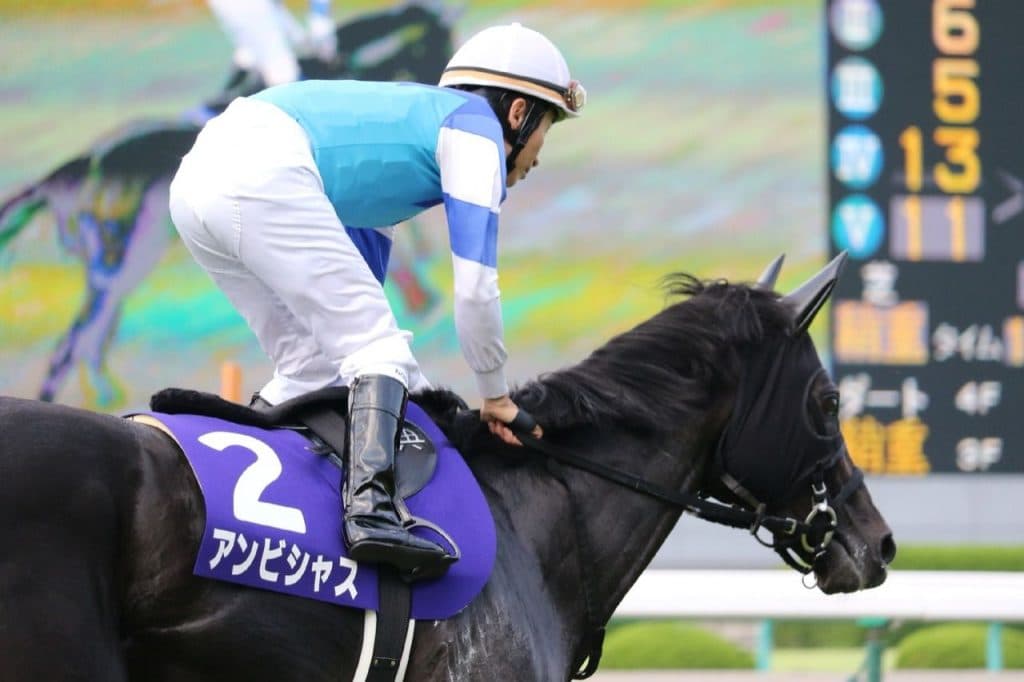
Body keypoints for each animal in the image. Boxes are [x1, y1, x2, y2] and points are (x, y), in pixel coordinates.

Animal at [0, 0, 454, 407]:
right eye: (434, 44)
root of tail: (77, 165)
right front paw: (421, 295)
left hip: (125, 268)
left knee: (89, 339)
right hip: (123, 263)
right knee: (71, 345)